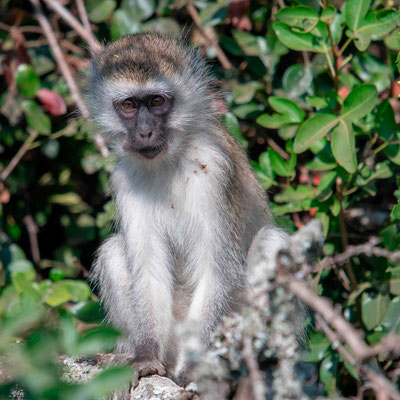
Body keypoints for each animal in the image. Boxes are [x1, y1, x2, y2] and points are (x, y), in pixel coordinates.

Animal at [85, 32, 288, 382]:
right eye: (129, 105)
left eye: (156, 101)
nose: (144, 132)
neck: (169, 160)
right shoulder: (124, 179)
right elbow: (148, 270)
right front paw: (145, 357)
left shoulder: (214, 169)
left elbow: (217, 270)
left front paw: (196, 366)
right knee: (112, 252)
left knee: (271, 242)